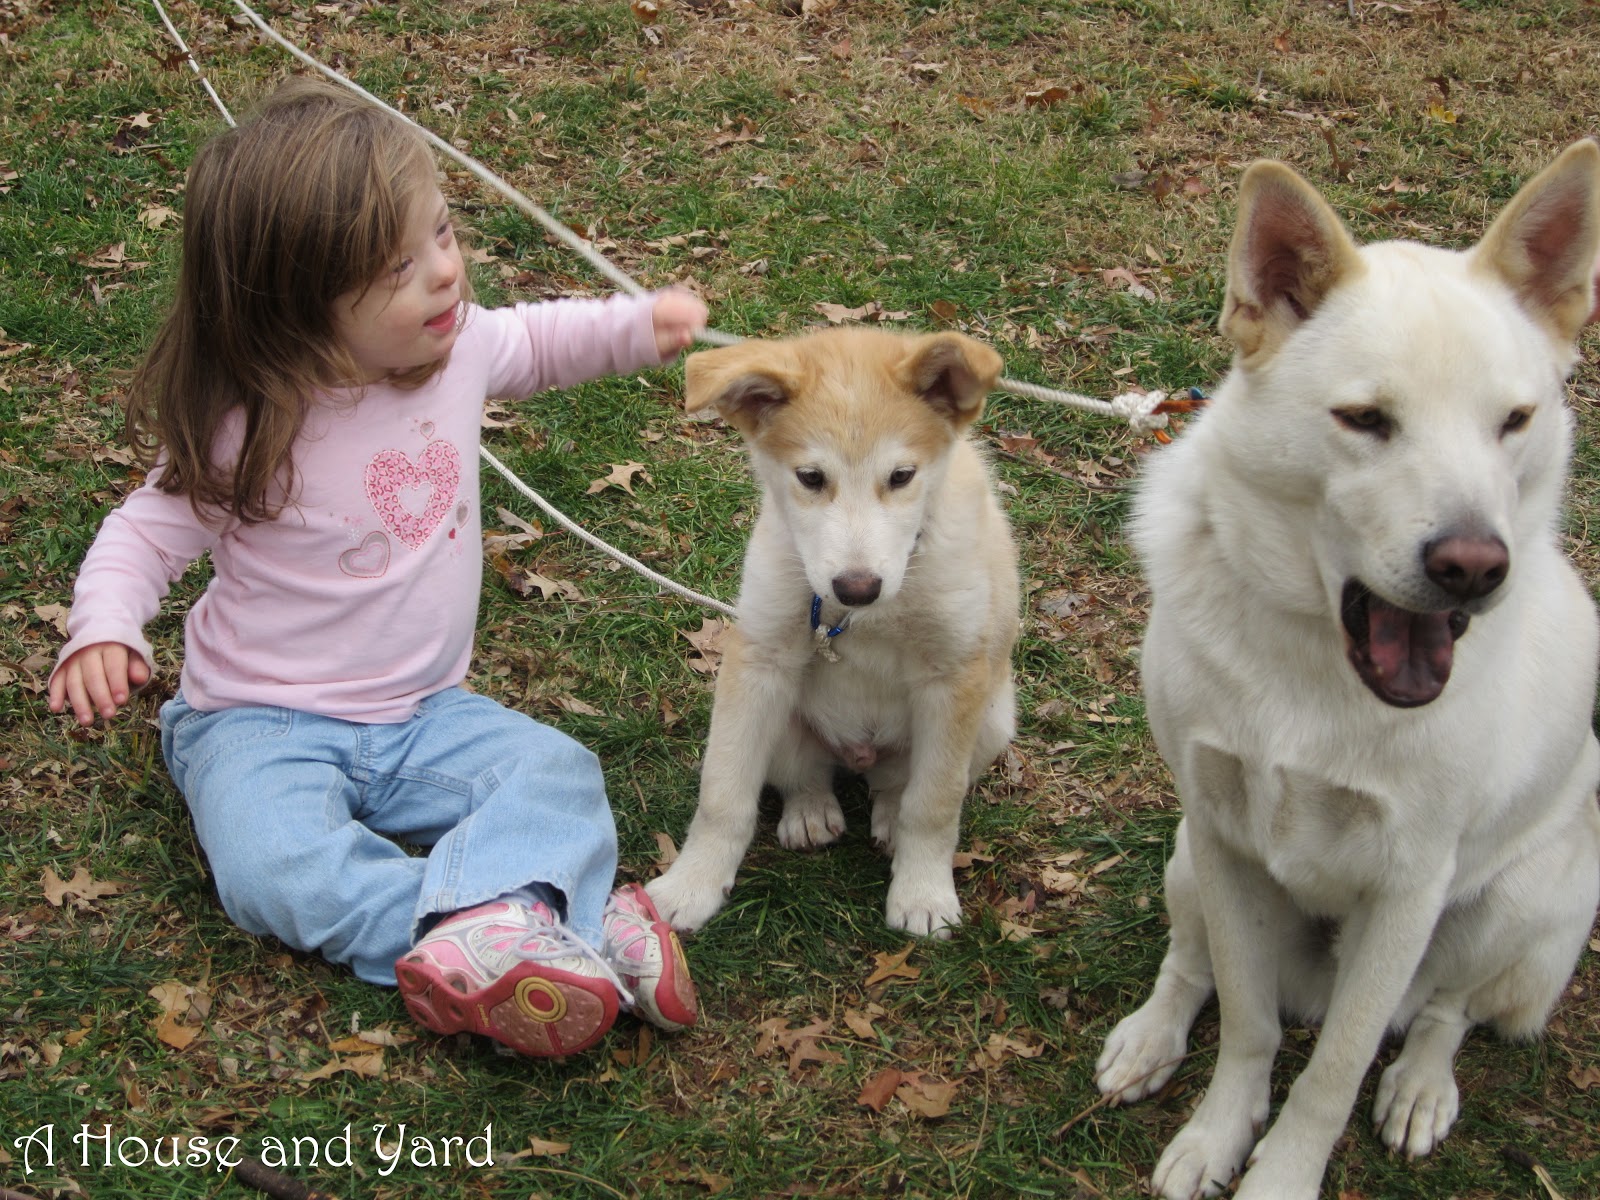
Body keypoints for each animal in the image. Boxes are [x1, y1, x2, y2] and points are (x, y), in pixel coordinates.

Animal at [646, 327, 1020, 938]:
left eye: (902, 477)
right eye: (811, 478)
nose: (857, 587)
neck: (864, 617)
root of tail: (859, 756)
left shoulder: (953, 678)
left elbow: (933, 805)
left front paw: (923, 894)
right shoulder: (759, 660)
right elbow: (723, 793)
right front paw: (691, 885)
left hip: (991, 719)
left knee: (898, 786)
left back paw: (888, 819)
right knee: (805, 774)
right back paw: (810, 812)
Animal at [1094, 141, 1600, 1200]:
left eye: (1514, 420)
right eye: (1366, 420)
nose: (1473, 566)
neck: (1317, 667)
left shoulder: (1407, 891)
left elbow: (1331, 1074)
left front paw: (1279, 1176)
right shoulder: (1227, 843)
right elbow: (1246, 1024)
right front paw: (1216, 1136)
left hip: (1510, 905)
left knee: (1445, 1013)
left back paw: (1420, 1089)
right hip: (1186, 856)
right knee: (1191, 965)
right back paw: (1151, 1038)